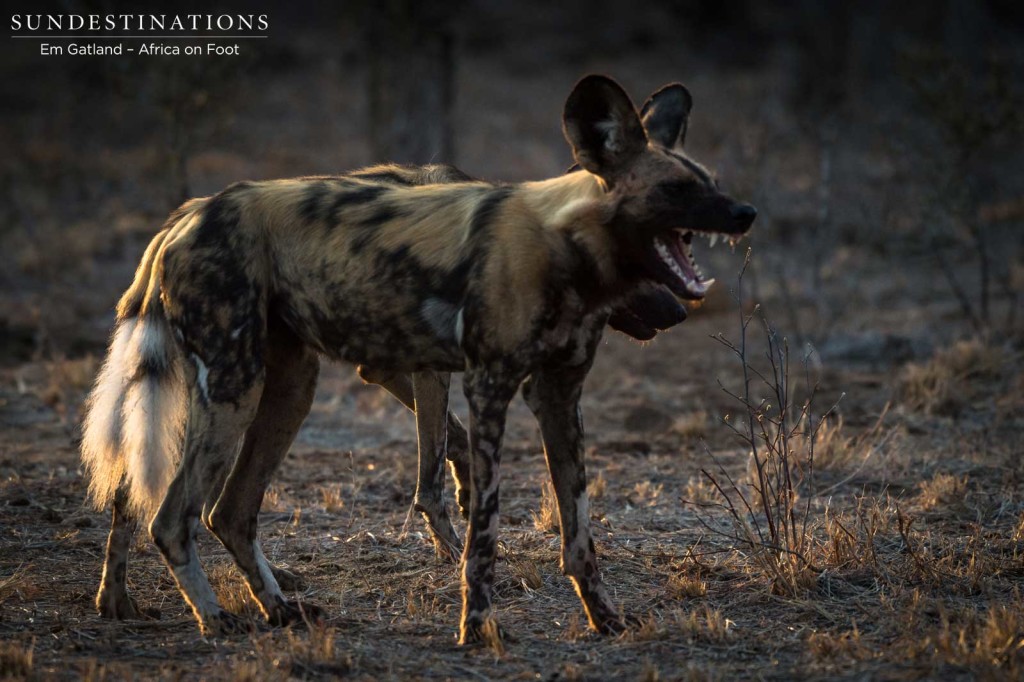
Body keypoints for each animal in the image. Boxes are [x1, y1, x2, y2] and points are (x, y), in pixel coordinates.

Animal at [77, 74, 753, 638]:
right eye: (676, 189)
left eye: (711, 181)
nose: (745, 211)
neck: (557, 240)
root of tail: (188, 215)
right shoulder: (463, 382)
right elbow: (465, 505)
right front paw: (474, 618)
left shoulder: (553, 394)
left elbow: (574, 527)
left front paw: (604, 618)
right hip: (233, 389)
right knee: (173, 514)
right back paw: (214, 618)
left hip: (281, 388)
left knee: (215, 508)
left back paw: (249, 607)